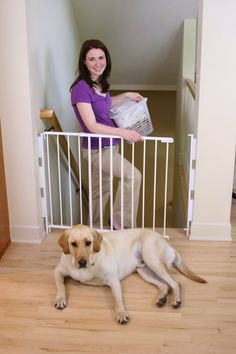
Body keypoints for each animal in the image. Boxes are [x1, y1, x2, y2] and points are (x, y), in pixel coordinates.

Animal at [54, 225, 206, 322]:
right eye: (73, 244)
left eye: (88, 243)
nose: (82, 262)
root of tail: (166, 241)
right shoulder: (57, 271)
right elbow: (60, 286)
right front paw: (60, 299)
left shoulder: (113, 280)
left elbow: (117, 299)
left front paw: (121, 313)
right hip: (144, 270)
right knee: (165, 285)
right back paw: (162, 298)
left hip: (152, 259)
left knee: (175, 283)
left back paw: (176, 300)